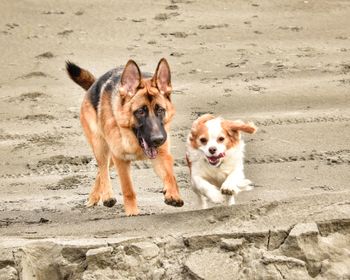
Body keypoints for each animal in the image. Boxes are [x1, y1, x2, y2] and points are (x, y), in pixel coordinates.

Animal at [66, 59, 185, 215]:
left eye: (160, 110)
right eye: (140, 111)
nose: (158, 139)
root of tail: (94, 84)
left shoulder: (162, 155)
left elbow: (170, 176)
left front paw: (173, 194)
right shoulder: (120, 158)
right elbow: (128, 189)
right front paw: (132, 212)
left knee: (101, 171)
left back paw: (94, 197)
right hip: (101, 146)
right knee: (103, 169)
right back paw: (107, 196)